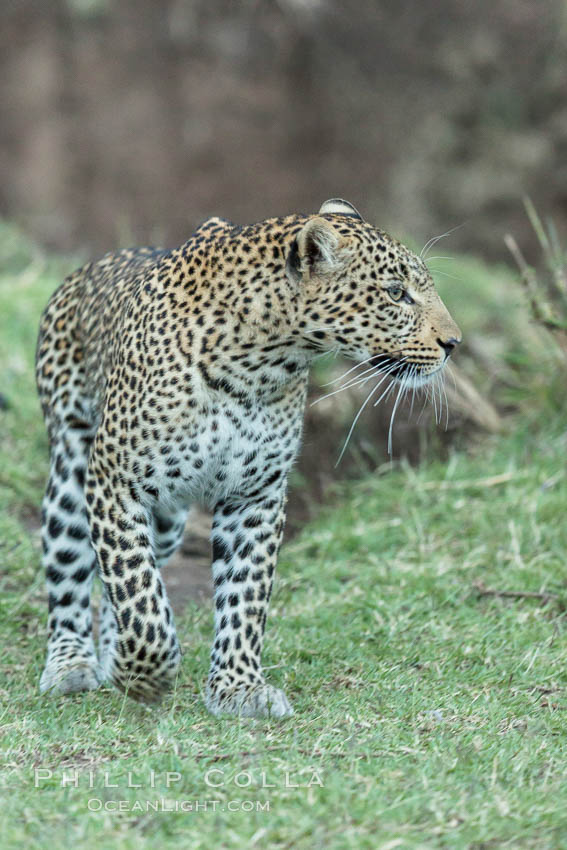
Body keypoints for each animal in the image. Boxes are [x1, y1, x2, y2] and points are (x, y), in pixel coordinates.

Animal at [35, 199, 462, 716]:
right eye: (396, 294)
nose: (454, 343)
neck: (260, 364)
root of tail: (90, 267)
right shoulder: (116, 481)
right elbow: (137, 590)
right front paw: (144, 676)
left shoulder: (254, 496)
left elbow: (244, 593)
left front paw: (238, 687)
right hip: (73, 466)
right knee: (72, 565)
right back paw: (71, 662)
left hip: (169, 520)